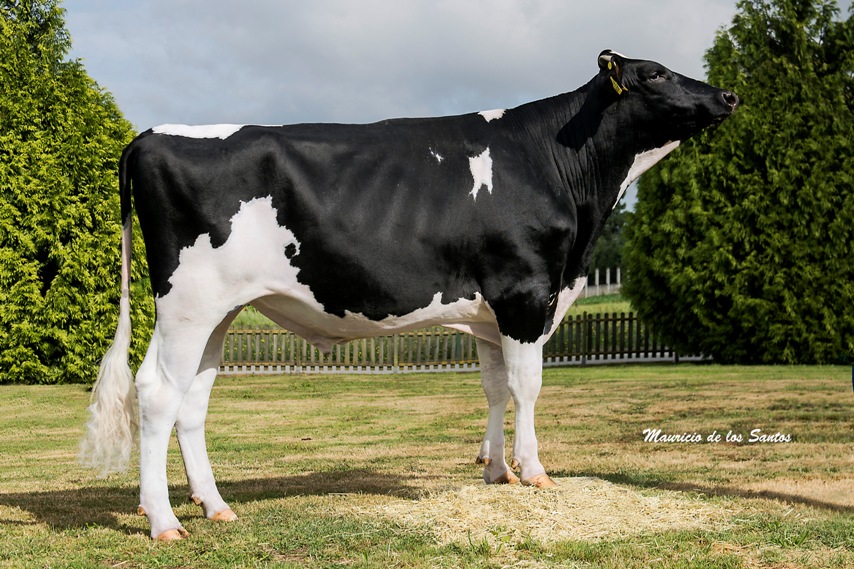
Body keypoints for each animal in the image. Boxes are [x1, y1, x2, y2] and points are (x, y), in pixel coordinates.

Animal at [80, 50, 738, 540]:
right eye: (655, 74)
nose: (729, 97)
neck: (556, 165)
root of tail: (150, 135)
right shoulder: (526, 292)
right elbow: (527, 387)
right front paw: (534, 472)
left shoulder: (491, 312)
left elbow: (495, 388)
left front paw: (497, 470)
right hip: (188, 302)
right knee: (157, 393)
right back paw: (164, 520)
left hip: (218, 311)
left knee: (191, 401)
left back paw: (214, 506)